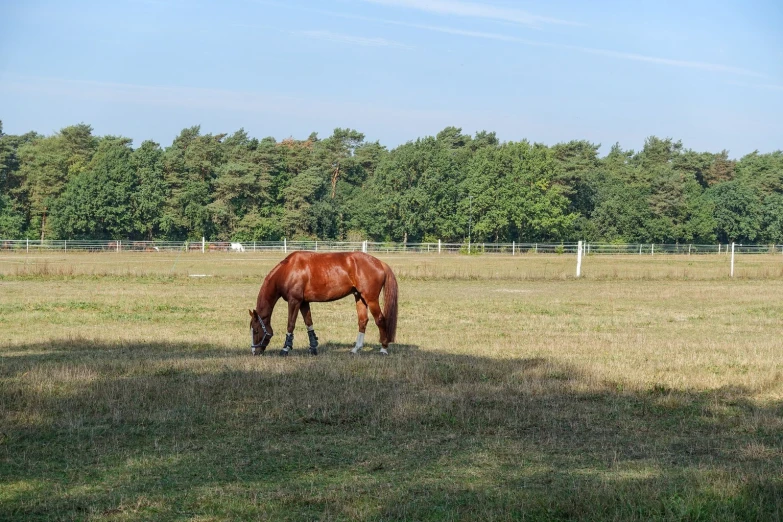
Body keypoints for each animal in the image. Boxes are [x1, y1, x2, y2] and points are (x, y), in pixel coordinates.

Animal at [250, 250, 398, 356]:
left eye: (256, 330)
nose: (254, 352)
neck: (288, 270)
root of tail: (380, 262)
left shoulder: (294, 301)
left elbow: (290, 325)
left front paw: (285, 349)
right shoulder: (303, 303)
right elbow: (309, 323)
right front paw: (313, 348)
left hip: (371, 299)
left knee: (380, 320)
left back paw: (383, 349)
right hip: (359, 297)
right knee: (363, 321)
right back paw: (356, 349)